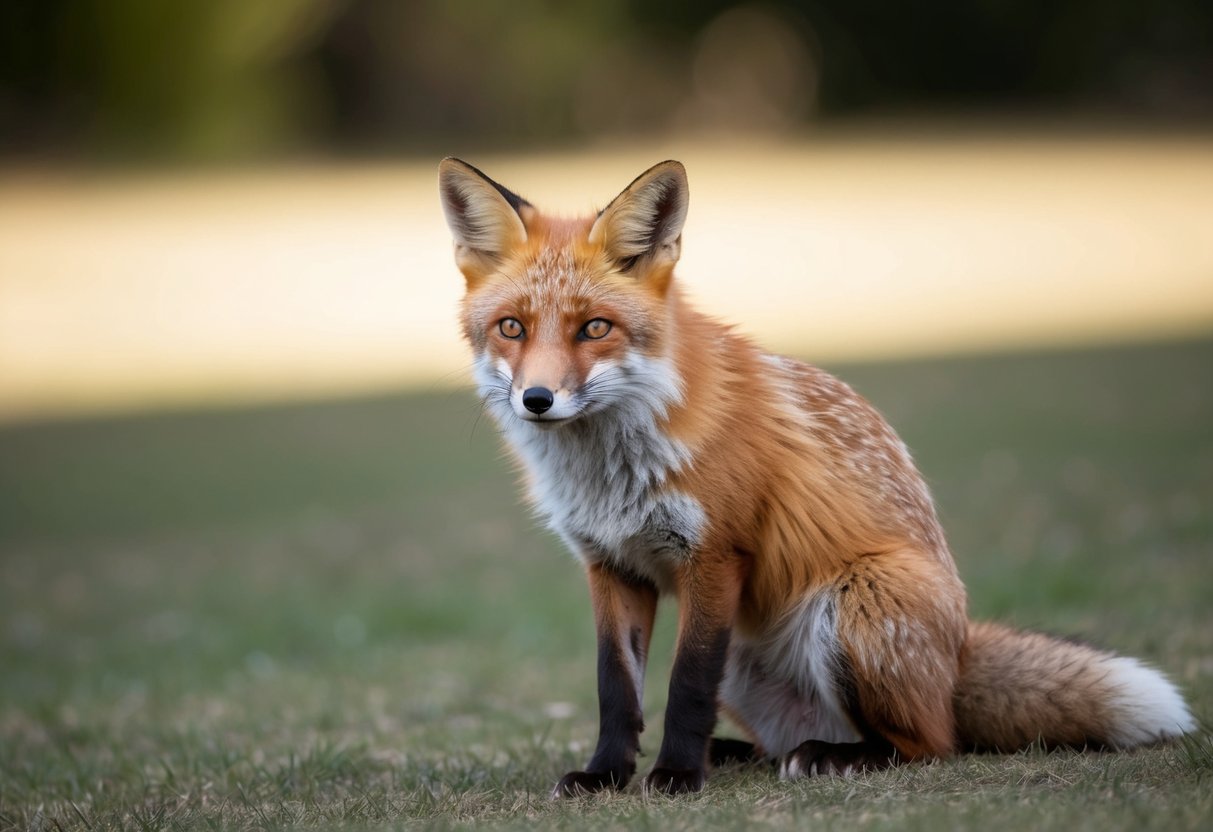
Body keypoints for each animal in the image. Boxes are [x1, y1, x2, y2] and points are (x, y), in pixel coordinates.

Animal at [437, 157, 1196, 796]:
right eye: (511, 328)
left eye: (594, 328)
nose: (537, 400)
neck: (611, 467)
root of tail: (957, 653)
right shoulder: (610, 564)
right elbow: (615, 688)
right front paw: (605, 775)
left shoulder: (717, 555)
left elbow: (685, 686)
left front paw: (676, 775)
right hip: (748, 662)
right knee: (788, 738)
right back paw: (742, 752)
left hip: (853, 606)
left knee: (929, 743)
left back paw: (832, 757)